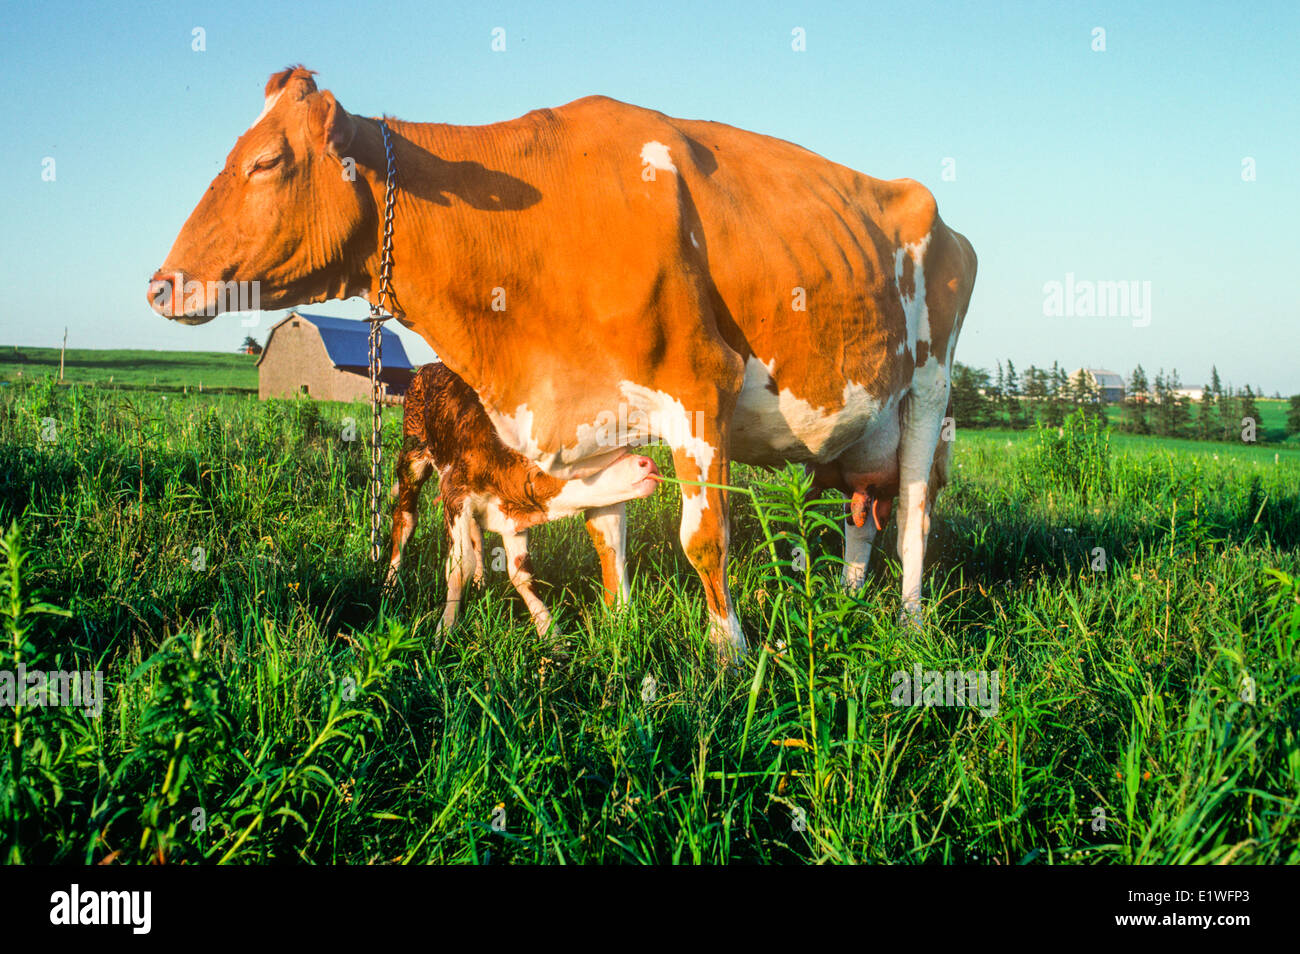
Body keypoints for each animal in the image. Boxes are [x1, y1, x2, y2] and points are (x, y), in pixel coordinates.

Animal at [387, 361, 661, 637]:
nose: (648, 463)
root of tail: (428, 367)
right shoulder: (455, 494)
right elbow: (459, 567)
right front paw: (445, 630)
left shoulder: (511, 514)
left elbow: (521, 572)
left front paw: (550, 632)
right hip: (412, 457)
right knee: (404, 519)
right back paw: (391, 584)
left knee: (477, 536)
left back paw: (480, 582)